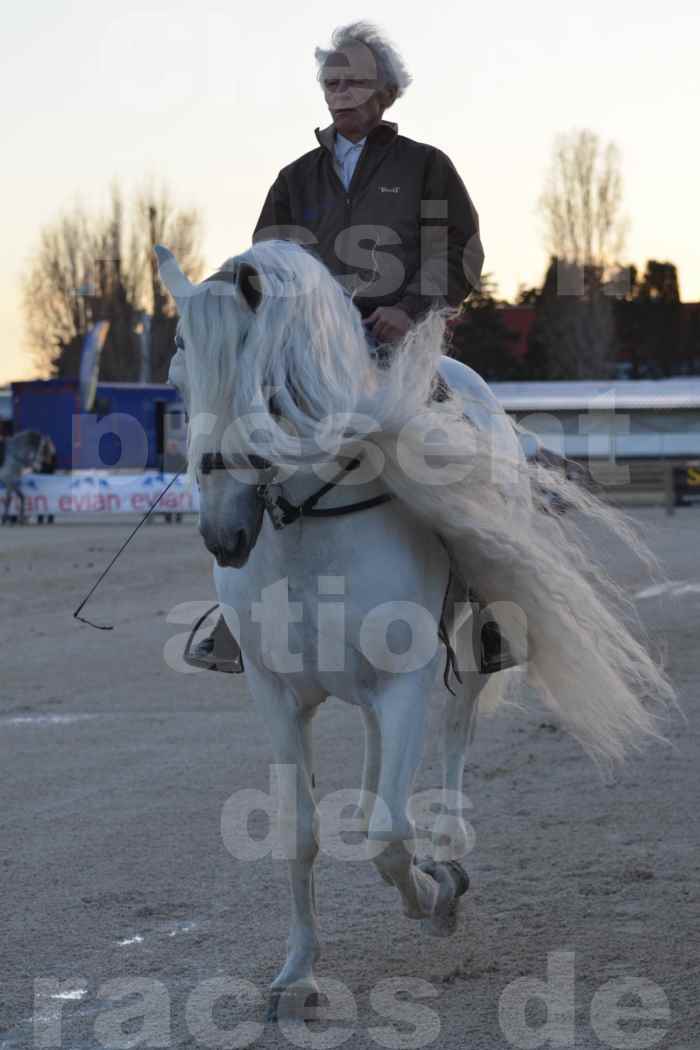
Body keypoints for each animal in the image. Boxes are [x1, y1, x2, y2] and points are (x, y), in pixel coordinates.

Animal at [154, 243, 671, 1016]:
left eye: (269, 393)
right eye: (177, 381)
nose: (224, 536)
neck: (307, 528)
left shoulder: (405, 683)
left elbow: (392, 837)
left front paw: (435, 897)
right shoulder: (276, 694)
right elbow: (300, 835)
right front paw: (297, 973)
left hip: (469, 650)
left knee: (454, 741)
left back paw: (449, 851)